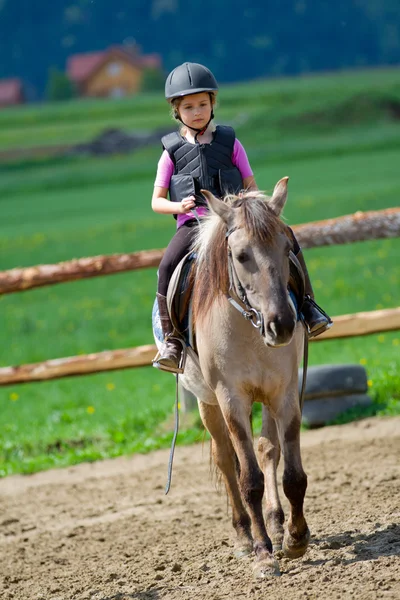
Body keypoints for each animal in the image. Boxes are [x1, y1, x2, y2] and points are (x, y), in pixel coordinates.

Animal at [156, 177, 310, 576]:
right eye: (241, 256)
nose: (282, 324)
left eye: (287, 247)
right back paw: (244, 537)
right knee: (227, 460)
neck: (248, 323)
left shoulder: (284, 392)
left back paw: (276, 527)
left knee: (267, 450)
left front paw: (295, 539)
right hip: (207, 403)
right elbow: (248, 480)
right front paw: (262, 553)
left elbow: (292, 473)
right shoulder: (231, 399)